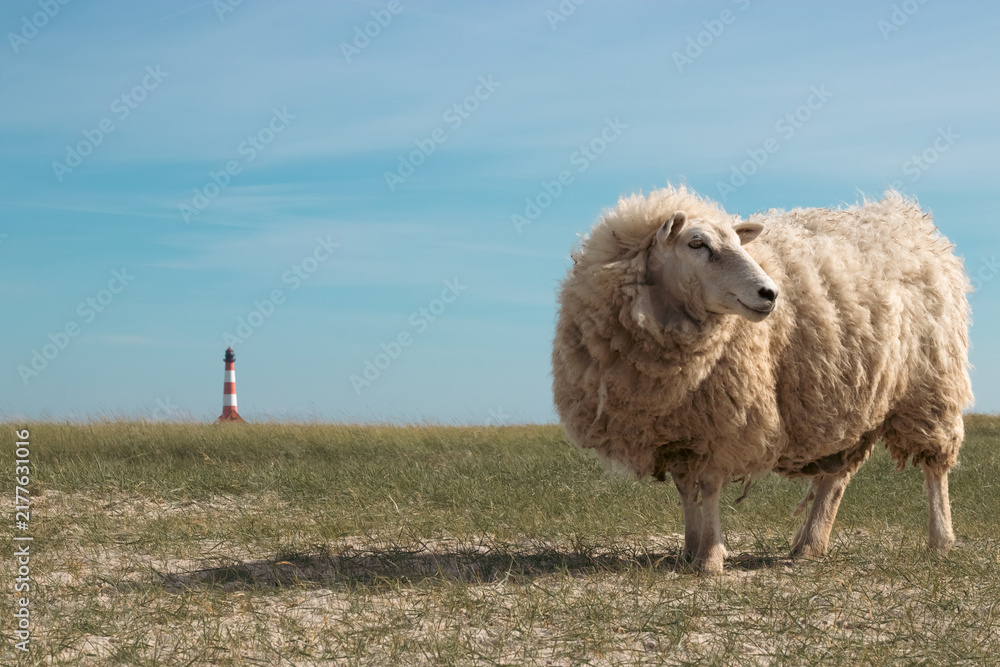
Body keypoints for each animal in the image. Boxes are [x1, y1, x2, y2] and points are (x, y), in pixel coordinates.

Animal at [552, 185, 973, 574]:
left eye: (740, 244)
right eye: (696, 243)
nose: (770, 293)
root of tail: (908, 220)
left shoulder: (724, 421)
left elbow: (709, 486)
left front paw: (710, 557)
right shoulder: (678, 427)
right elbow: (686, 489)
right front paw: (689, 549)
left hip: (929, 387)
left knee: (935, 468)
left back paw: (940, 540)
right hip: (854, 400)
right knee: (835, 478)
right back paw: (810, 544)